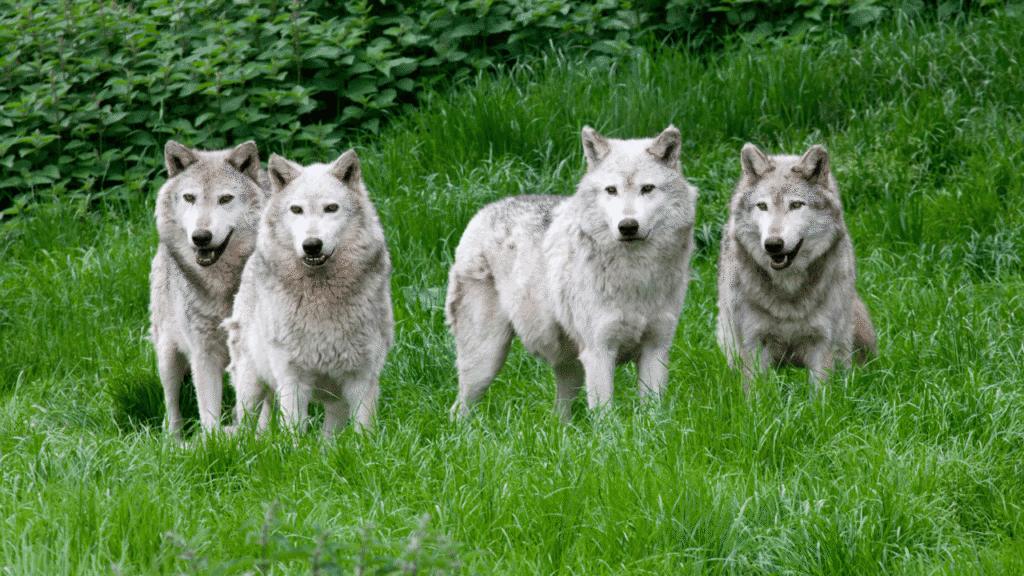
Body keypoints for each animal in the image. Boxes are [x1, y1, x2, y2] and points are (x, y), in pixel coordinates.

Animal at [150, 140, 269, 436]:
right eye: (190, 198)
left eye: (225, 199)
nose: (201, 237)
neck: (224, 290)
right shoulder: (203, 353)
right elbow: (208, 414)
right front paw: (214, 444)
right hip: (167, 355)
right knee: (171, 405)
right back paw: (173, 440)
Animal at [224, 150, 393, 436]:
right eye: (296, 210)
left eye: (331, 208)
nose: (312, 245)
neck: (320, 296)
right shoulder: (292, 379)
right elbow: (294, 433)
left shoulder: (362, 379)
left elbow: (364, 434)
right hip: (251, 387)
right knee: (245, 429)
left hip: (334, 402)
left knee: (329, 438)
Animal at [446, 125, 698, 420]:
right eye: (611, 190)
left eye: (647, 188)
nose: (627, 226)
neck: (637, 275)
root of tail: (483, 211)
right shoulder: (599, 353)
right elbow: (605, 418)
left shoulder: (656, 350)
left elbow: (653, 415)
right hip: (486, 361)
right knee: (457, 410)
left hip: (571, 369)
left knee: (558, 416)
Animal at [716, 143, 877, 395]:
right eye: (762, 206)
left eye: (796, 205)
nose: (773, 244)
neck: (788, 291)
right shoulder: (753, 342)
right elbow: (755, 395)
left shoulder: (822, 342)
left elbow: (820, 396)